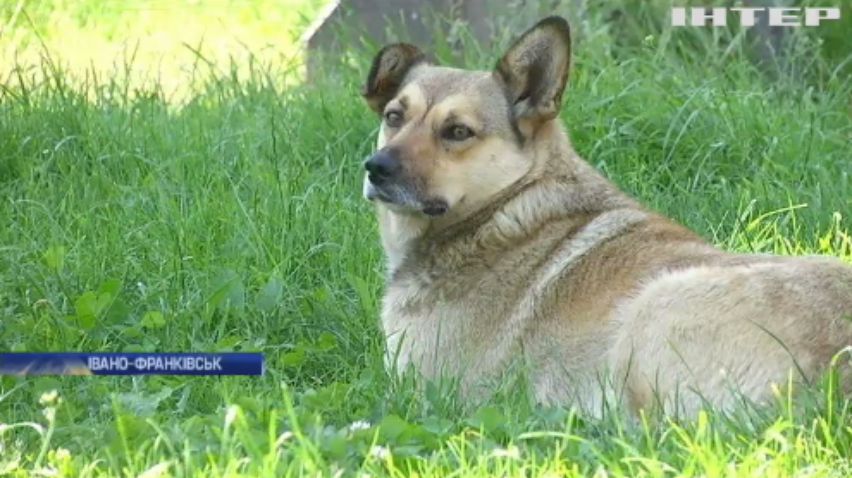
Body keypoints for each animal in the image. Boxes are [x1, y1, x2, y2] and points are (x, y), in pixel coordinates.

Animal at [358, 14, 852, 418]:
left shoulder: (423, 389)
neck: (509, 207)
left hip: (654, 306)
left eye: (458, 131)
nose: (375, 167)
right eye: (394, 117)